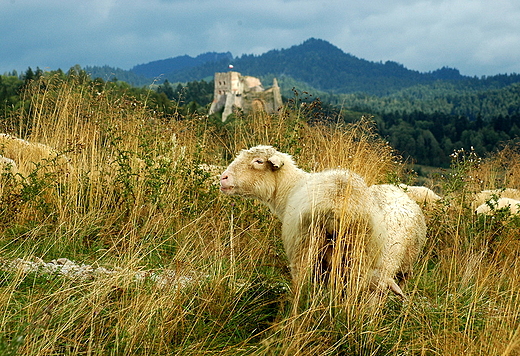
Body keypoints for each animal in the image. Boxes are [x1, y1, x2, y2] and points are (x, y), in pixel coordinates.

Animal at [219, 145, 426, 298]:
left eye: (258, 161)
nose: (223, 178)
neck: (289, 189)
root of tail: (339, 207)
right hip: (359, 256)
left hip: (307, 246)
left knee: (301, 287)